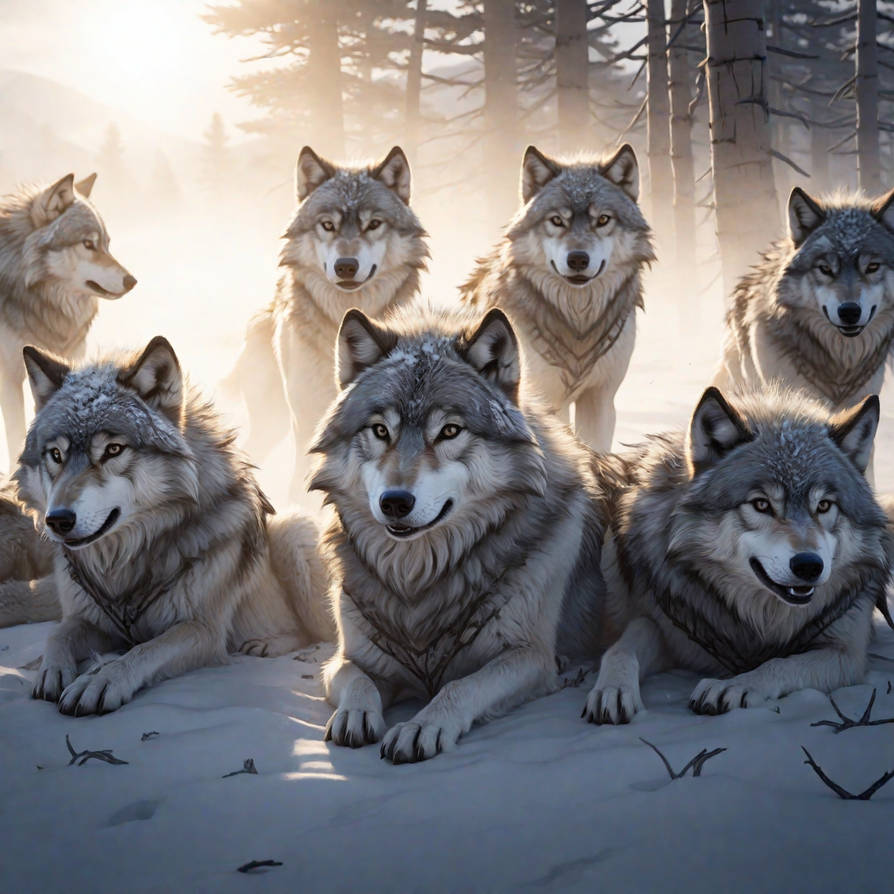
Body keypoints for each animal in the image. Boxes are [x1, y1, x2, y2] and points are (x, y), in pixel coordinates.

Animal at [15, 336, 333, 715]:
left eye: (113, 450)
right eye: (56, 455)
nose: (58, 520)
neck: (122, 566)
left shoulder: (202, 630)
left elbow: (145, 650)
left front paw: (100, 680)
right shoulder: (92, 621)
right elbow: (58, 633)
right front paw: (53, 671)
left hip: (292, 533)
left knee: (319, 634)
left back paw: (270, 645)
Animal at [311, 305, 606, 762]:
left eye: (449, 431)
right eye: (380, 430)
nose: (395, 502)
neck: (418, 580)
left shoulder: (531, 657)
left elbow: (460, 686)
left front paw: (421, 727)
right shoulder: (348, 657)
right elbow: (357, 680)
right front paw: (354, 716)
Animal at [460, 145, 654, 452]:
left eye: (603, 219)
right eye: (557, 220)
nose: (577, 259)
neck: (578, 325)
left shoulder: (599, 398)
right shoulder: (547, 398)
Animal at [583, 386, 892, 724]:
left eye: (824, 505)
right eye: (761, 504)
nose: (809, 566)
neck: (759, 621)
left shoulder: (846, 652)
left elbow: (780, 664)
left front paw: (734, 686)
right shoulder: (664, 623)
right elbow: (622, 648)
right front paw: (613, 690)